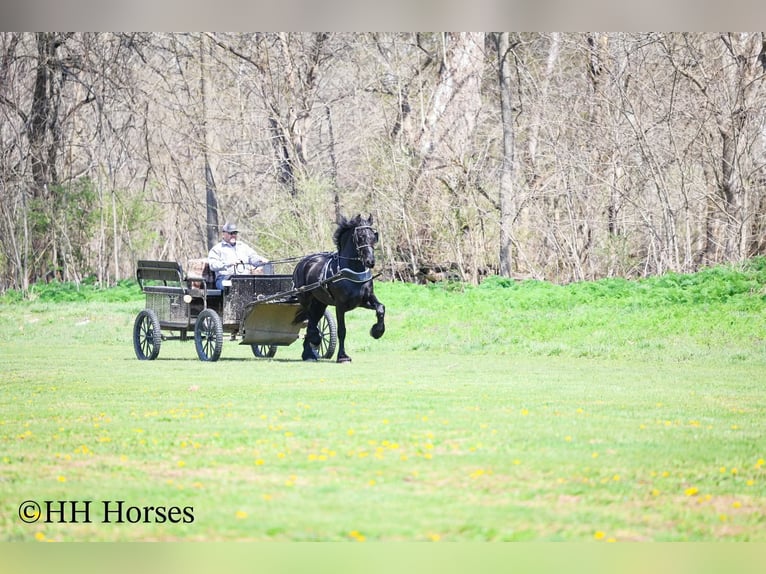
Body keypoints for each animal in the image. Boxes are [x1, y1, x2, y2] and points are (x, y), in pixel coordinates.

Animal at [292, 214, 386, 362]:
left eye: (373, 236)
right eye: (360, 236)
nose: (370, 261)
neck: (351, 271)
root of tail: (303, 262)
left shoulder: (364, 300)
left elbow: (381, 308)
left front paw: (377, 331)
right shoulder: (340, 306)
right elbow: (342, 330)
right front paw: (342, 356)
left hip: (320, 303)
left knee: (312, 320)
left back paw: (309, 354)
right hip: (305, 299)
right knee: (310, 319)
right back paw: (315, 340)